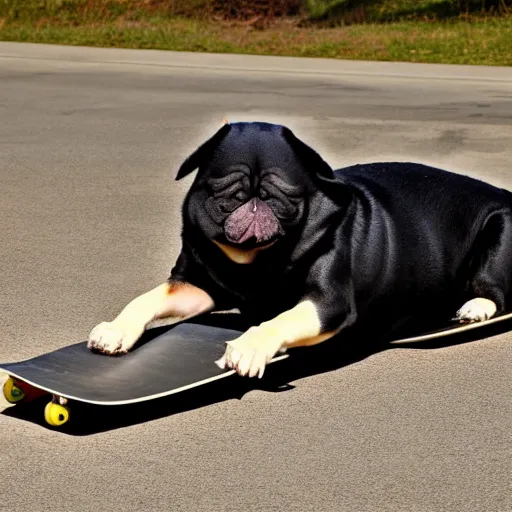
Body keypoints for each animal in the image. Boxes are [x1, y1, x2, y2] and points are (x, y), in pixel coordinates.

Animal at [87, 122, 512, 378]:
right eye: (227, 196)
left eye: (283, 196)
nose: (255, 204)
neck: (254, 261)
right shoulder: (195, 284)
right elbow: (148, 299)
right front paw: (116, 330)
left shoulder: (327, 303)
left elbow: (279, 320)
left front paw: (249, 346)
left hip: (498, 233)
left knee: (497, 292)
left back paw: (475, 308)